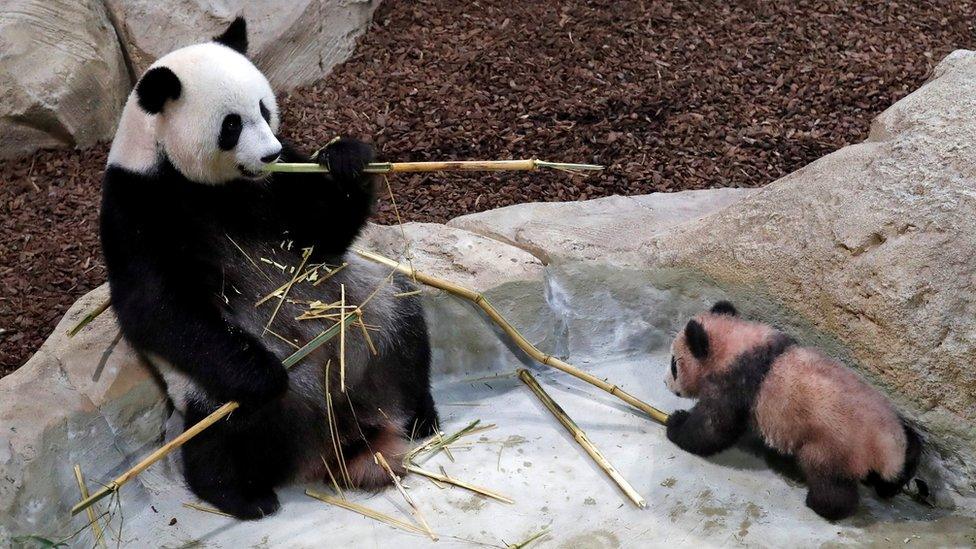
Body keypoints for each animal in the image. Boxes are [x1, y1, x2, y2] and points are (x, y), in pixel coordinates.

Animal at [101, 17, 436, 520]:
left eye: (263, 107)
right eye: (231, 124)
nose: (270, 154)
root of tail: (336, 425)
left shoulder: (276, 185)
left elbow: (320, 237)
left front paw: (349, 159)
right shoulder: (138, 205)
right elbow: (156, 305)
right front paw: (264, 375)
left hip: (369, 322)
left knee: (403, 327)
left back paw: (421, 416)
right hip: (209, 389)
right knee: (221, 433)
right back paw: (242, 494)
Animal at [660, 302, 920, 520]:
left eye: (674, 364)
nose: (665, 383)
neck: (738, 344)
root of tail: (886, 447)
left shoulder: (736, 381)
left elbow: (714, 425)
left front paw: (676, 423)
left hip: (833, 446)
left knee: (829, 480)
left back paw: (822, 505)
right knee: (910, 448)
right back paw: (897, 478)